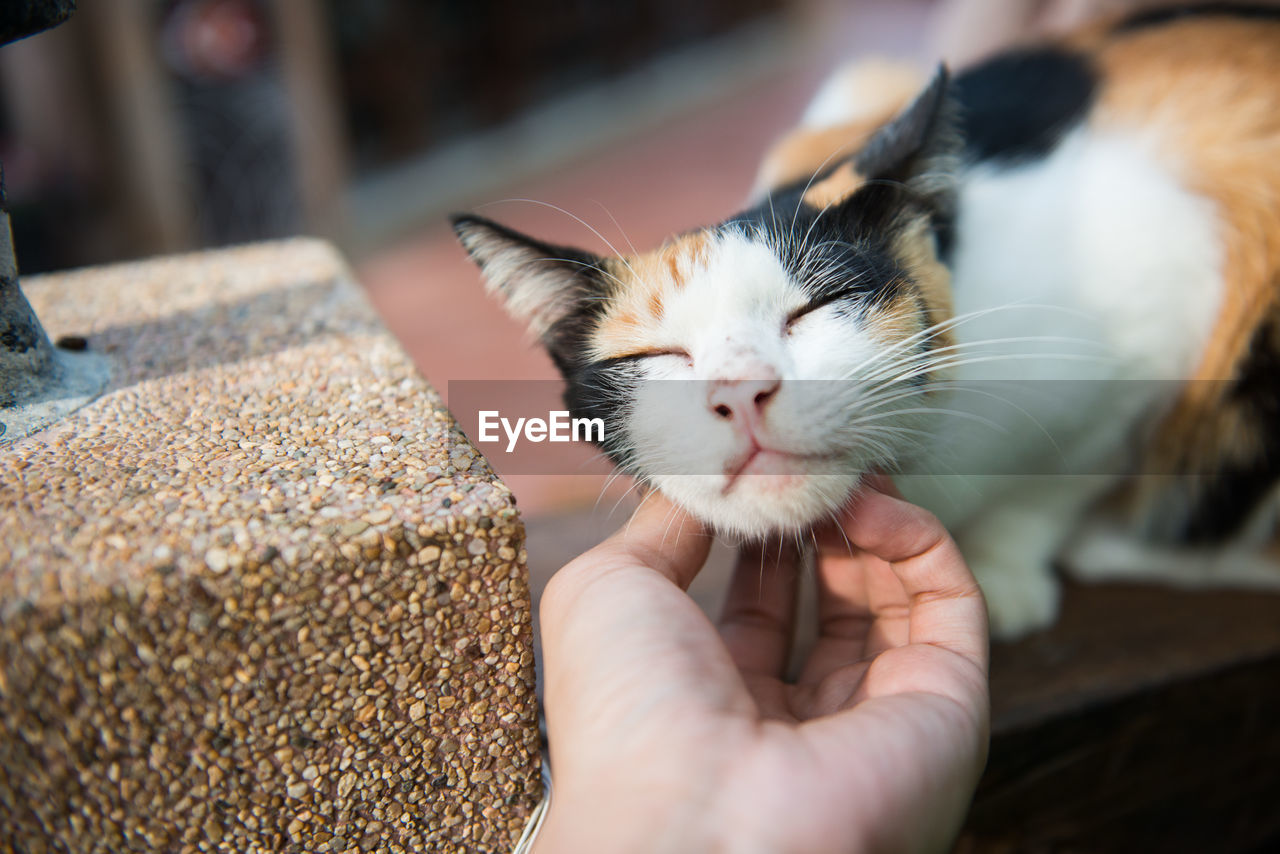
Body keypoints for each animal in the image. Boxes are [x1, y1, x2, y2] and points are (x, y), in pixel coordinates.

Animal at [450, 3, 1280, 637]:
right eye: (657, 355)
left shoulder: (1149, 329)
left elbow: (1049, 486)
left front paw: (1005, 575)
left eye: (816, 305)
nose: (741, 392)